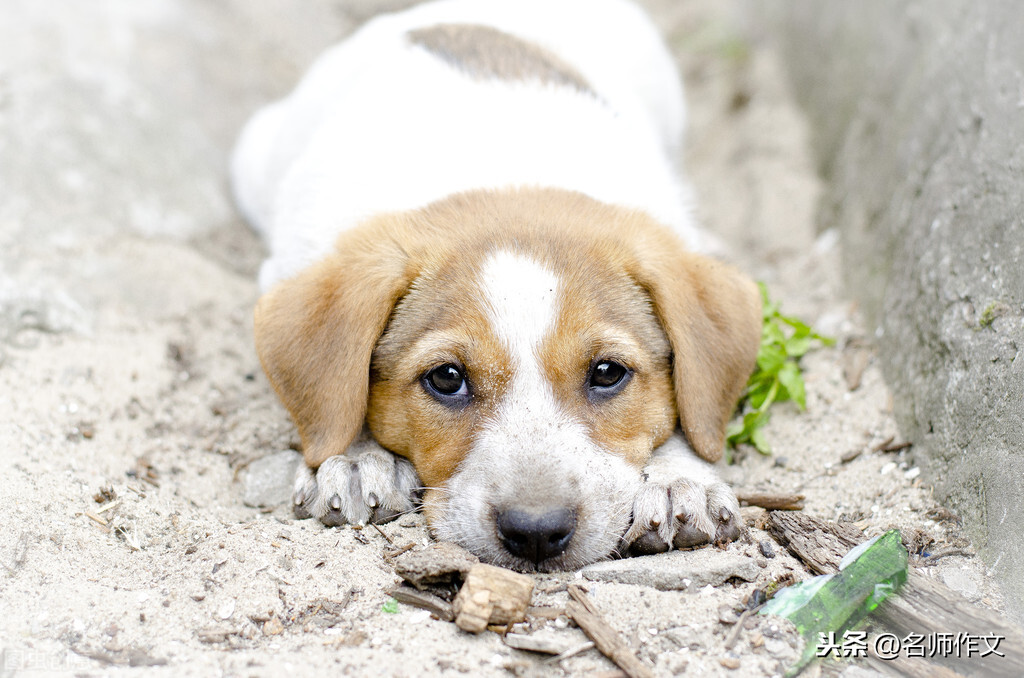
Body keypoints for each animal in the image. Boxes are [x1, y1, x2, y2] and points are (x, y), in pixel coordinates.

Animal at [232, 0, 761, 573]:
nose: (536, 533)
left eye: (607, 373)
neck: (502, 176)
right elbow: (336, 398)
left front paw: (677, 476)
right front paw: (357, 456)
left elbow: (690, 410)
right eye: (446, 378)